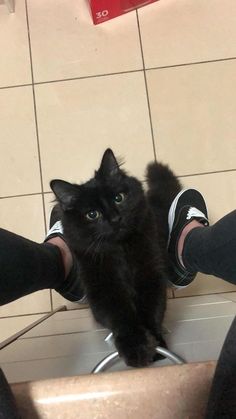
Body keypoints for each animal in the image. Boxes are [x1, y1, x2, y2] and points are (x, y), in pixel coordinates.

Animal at [50, 150, 181, 368]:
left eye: (118, 198)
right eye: (92, 214)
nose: (115, 219)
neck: (120, 250)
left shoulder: (150, 274)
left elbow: (151, 312)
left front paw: (157, 348)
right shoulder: (103, 287)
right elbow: (122, 318)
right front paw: (136, 349)